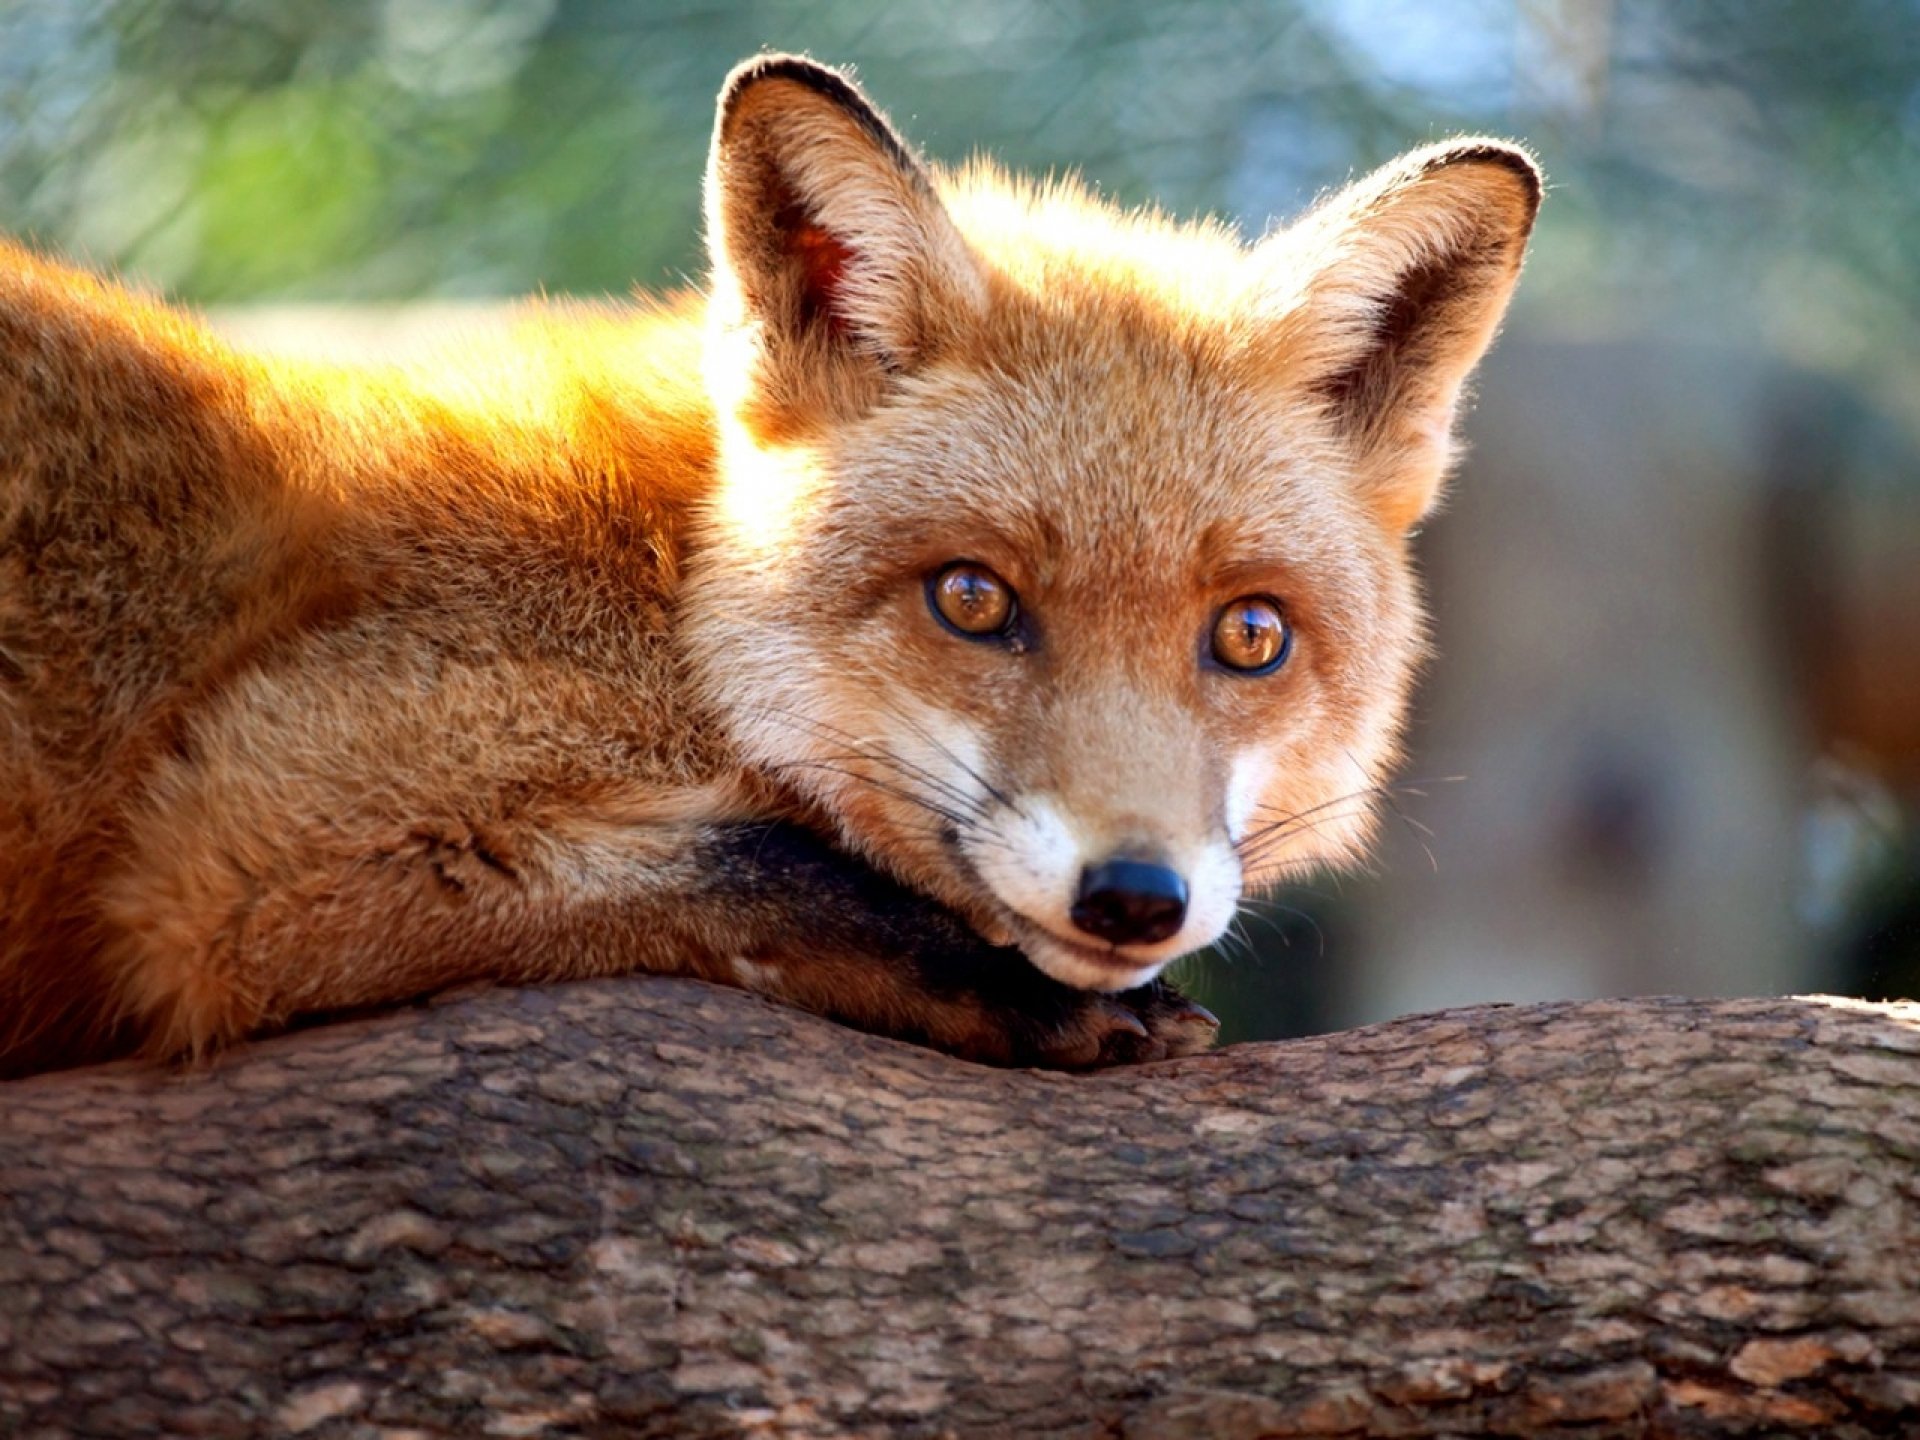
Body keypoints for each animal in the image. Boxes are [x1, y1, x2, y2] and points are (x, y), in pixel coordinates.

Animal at [0, 55, 1538, 1079]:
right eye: (972, 601)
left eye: (1250, 636)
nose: (1135, 899)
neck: (663, 586)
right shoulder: (257, 841)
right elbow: (767, 858)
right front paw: (1017, 993)